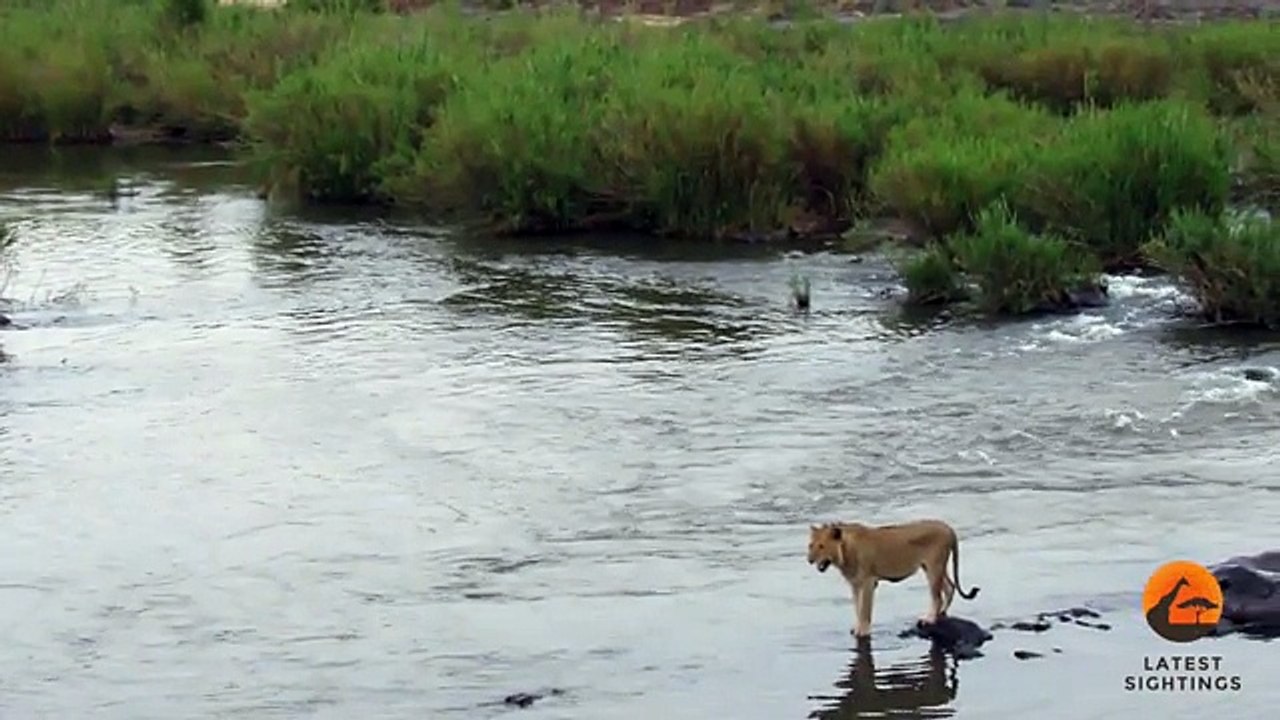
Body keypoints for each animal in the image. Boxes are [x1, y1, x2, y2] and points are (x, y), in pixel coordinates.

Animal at [807, 519, 980, 638]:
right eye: (810, 545)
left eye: (821, 546)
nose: (809, 560)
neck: (844, 552)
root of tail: (948, 527)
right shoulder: (855, 584)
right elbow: (857, 607)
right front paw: (856, 627)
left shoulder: (868, 582)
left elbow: (864, 609)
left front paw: (863, 631)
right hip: (932, 568)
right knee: (950, 587)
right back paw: (942, 613)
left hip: (934, 567)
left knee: (937, 597)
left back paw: (929, 619)